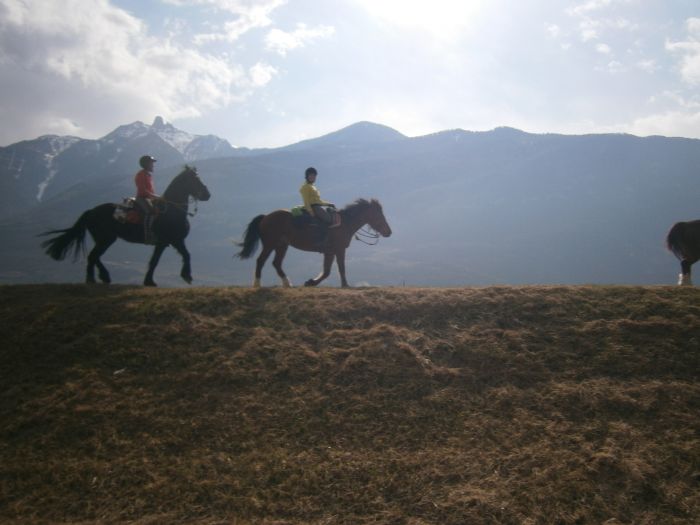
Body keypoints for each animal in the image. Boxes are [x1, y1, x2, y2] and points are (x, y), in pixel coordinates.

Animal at [39, 165, 209, 284]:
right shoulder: (169, 241)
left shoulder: (170, 242)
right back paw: (93, 279)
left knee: (94, 256)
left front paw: (154, 280)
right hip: (105, 239)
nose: (207, 195)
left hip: (105, 239)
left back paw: (103, 277)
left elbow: (173, 257)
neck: (172, 211)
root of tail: (91, 211)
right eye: (195, 180)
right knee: (93, 256)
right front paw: (183, 276)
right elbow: (167, 259)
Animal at [237, 196, 392, 286]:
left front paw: (311, 282)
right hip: (270, 244)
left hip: (282, 245)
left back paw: (287, 283)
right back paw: (257, 284)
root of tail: (265, 217)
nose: (388, 232)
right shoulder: (339, 250)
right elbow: (340, 268)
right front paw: (345, 285)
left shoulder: (329, 252)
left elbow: (327, 271)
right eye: (379, 215)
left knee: (276, 263)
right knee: (261, 261)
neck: (344, 223)